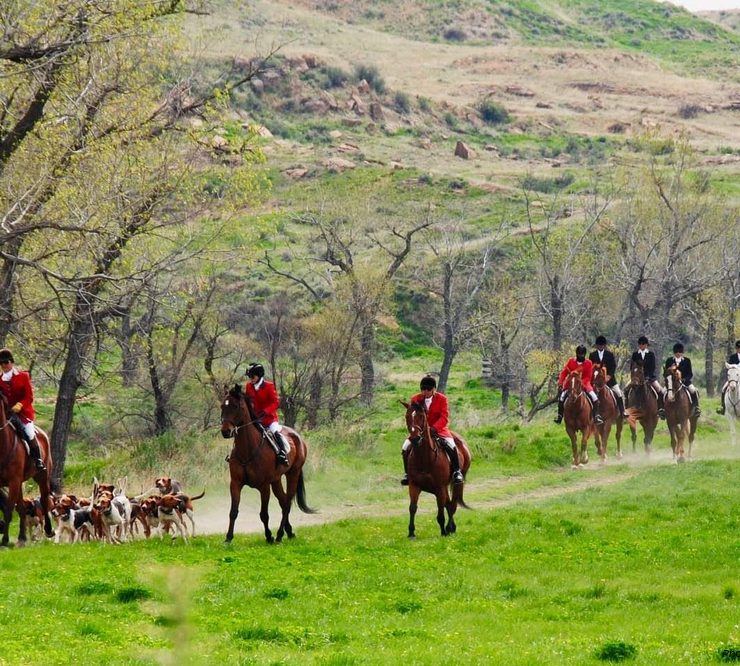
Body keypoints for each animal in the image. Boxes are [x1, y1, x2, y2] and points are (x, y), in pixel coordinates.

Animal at [0, 393, 54, 546]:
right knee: (21, 508)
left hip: (42, 476)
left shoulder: (13, 481)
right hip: (19, 483)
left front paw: (4, 540)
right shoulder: (13, 483)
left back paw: (49, 530)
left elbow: (8, 509)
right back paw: (22, 537)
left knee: (44, 499)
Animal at [220, 384, 316, 544]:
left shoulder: (264, 486)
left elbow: (264, 514)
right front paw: (228, 538)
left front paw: (269, 536)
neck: (247, 449)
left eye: (235, 406)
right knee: (283, 500)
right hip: (276, 480)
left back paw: (279, 534)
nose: (226, 432)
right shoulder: (235, 484)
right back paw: (288, 532)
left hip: (293, 473)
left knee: (287, 502)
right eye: (222, 406)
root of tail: (297, 436)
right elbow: (233, 511)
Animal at [401, 400, 471, 538]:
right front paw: (411, 532)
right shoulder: (414, 485)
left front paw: (443, 531)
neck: (424, 457)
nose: (415, 439)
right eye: (407, 416)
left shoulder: (439, 487)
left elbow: (440, 509)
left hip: (457, 482)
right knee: (449, 504)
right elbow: (412, 507)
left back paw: (449, 528)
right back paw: (451, 528)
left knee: (452, 504)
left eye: (421, 416)